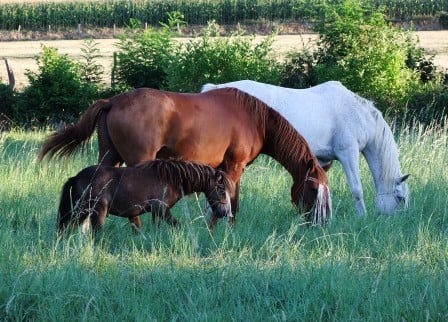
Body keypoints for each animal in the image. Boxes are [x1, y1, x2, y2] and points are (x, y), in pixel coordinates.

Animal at [39, 87, 332, 225]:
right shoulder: (233, 166)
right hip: (138, 159)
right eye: (313, 189)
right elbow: (230, 201)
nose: (319, 221)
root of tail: (112, 101)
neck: (255, 119)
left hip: (109, 157)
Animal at [57, 158, 234, 234]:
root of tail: (76, 177)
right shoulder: (161, 209)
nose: (225, 213)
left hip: (81, 213)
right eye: (221, 190)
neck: (170, 179)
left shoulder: (154, 213)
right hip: (96, 213)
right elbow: (176, 225)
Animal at [202, 80, 410, 216]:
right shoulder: (348, 153)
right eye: (400, 198)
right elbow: (357, 189)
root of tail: (214, 89)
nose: (396, 221)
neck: (358, 113)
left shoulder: (322, 160)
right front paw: (362, 217)